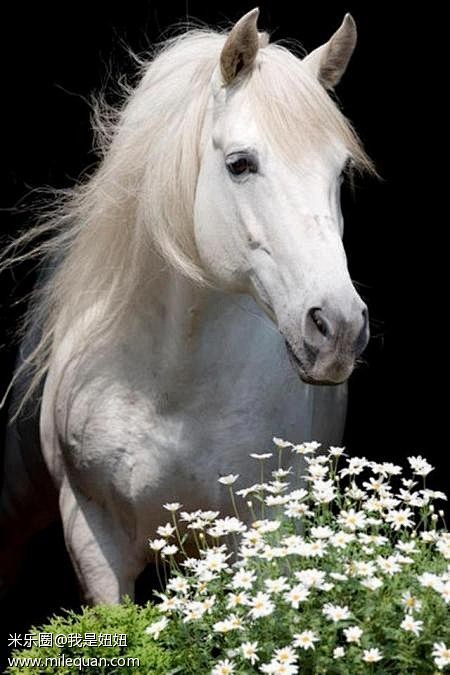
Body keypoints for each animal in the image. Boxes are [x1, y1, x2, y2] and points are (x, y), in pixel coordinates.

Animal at [0, 9, 373, 604]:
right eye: (240, 164)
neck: (173, 386)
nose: (337, 328)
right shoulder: (92, 536)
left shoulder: (267, 526)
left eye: (338, 172)